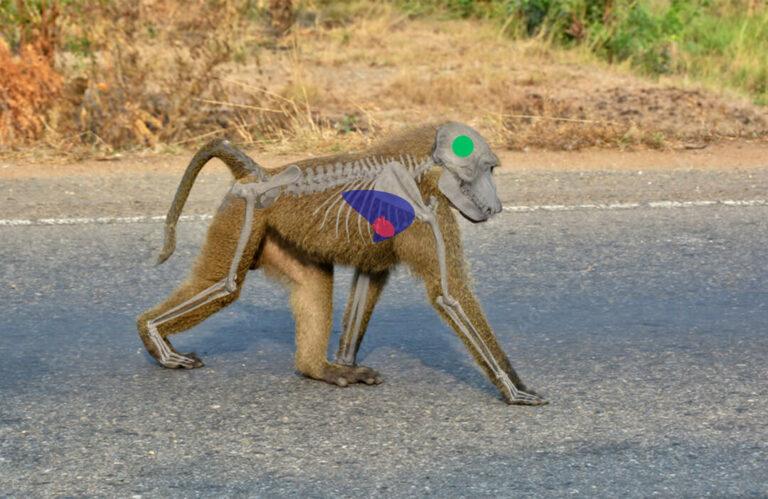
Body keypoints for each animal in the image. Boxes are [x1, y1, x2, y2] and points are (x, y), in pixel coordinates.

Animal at [137, 122, 546, 405]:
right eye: (486, 170)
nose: (497, 206)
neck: (420, 164)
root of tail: (262, 172)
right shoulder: (423, 213)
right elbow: (450, 295)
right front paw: (517, 390)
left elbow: (370, 275)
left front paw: (345, 363)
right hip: (245, 212)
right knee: (224, 284)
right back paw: (153, 334)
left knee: (313, 283)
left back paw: (317, 369)